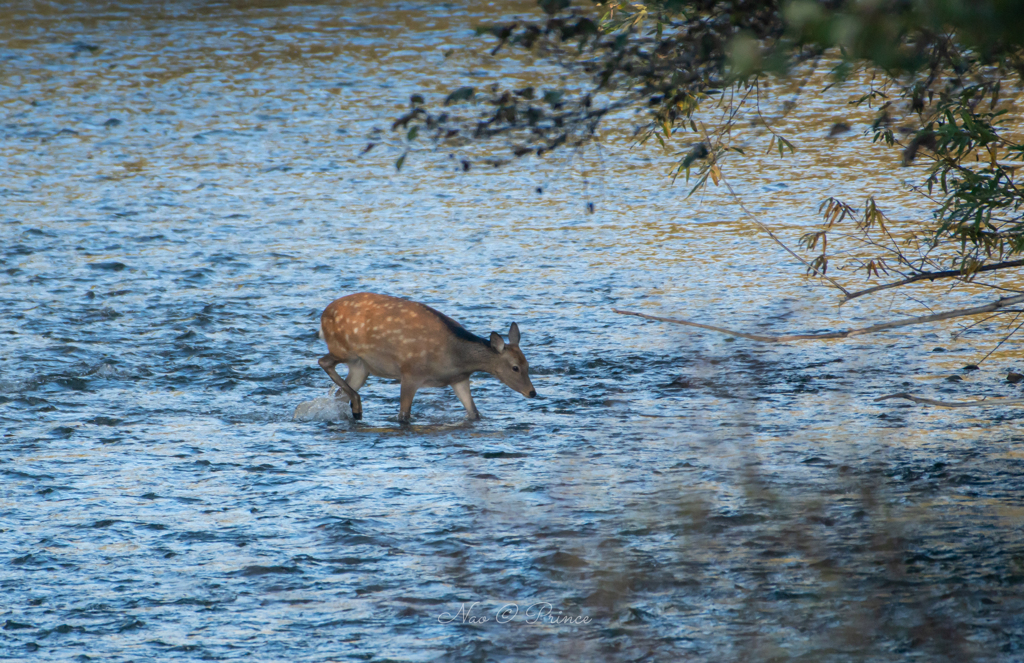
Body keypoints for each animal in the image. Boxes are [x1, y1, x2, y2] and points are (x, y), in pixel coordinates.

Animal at [315, 293, 540, 422]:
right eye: (515, 367)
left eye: (528, 364)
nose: (532, 392)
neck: (453, 358)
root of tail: (323, 317)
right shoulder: (410, 373)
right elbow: (404, 416)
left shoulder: (459, 379)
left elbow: (474, 413)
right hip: (343, 349)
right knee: (323, 361)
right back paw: (357, 404)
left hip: (361, 366)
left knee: (339, 393)